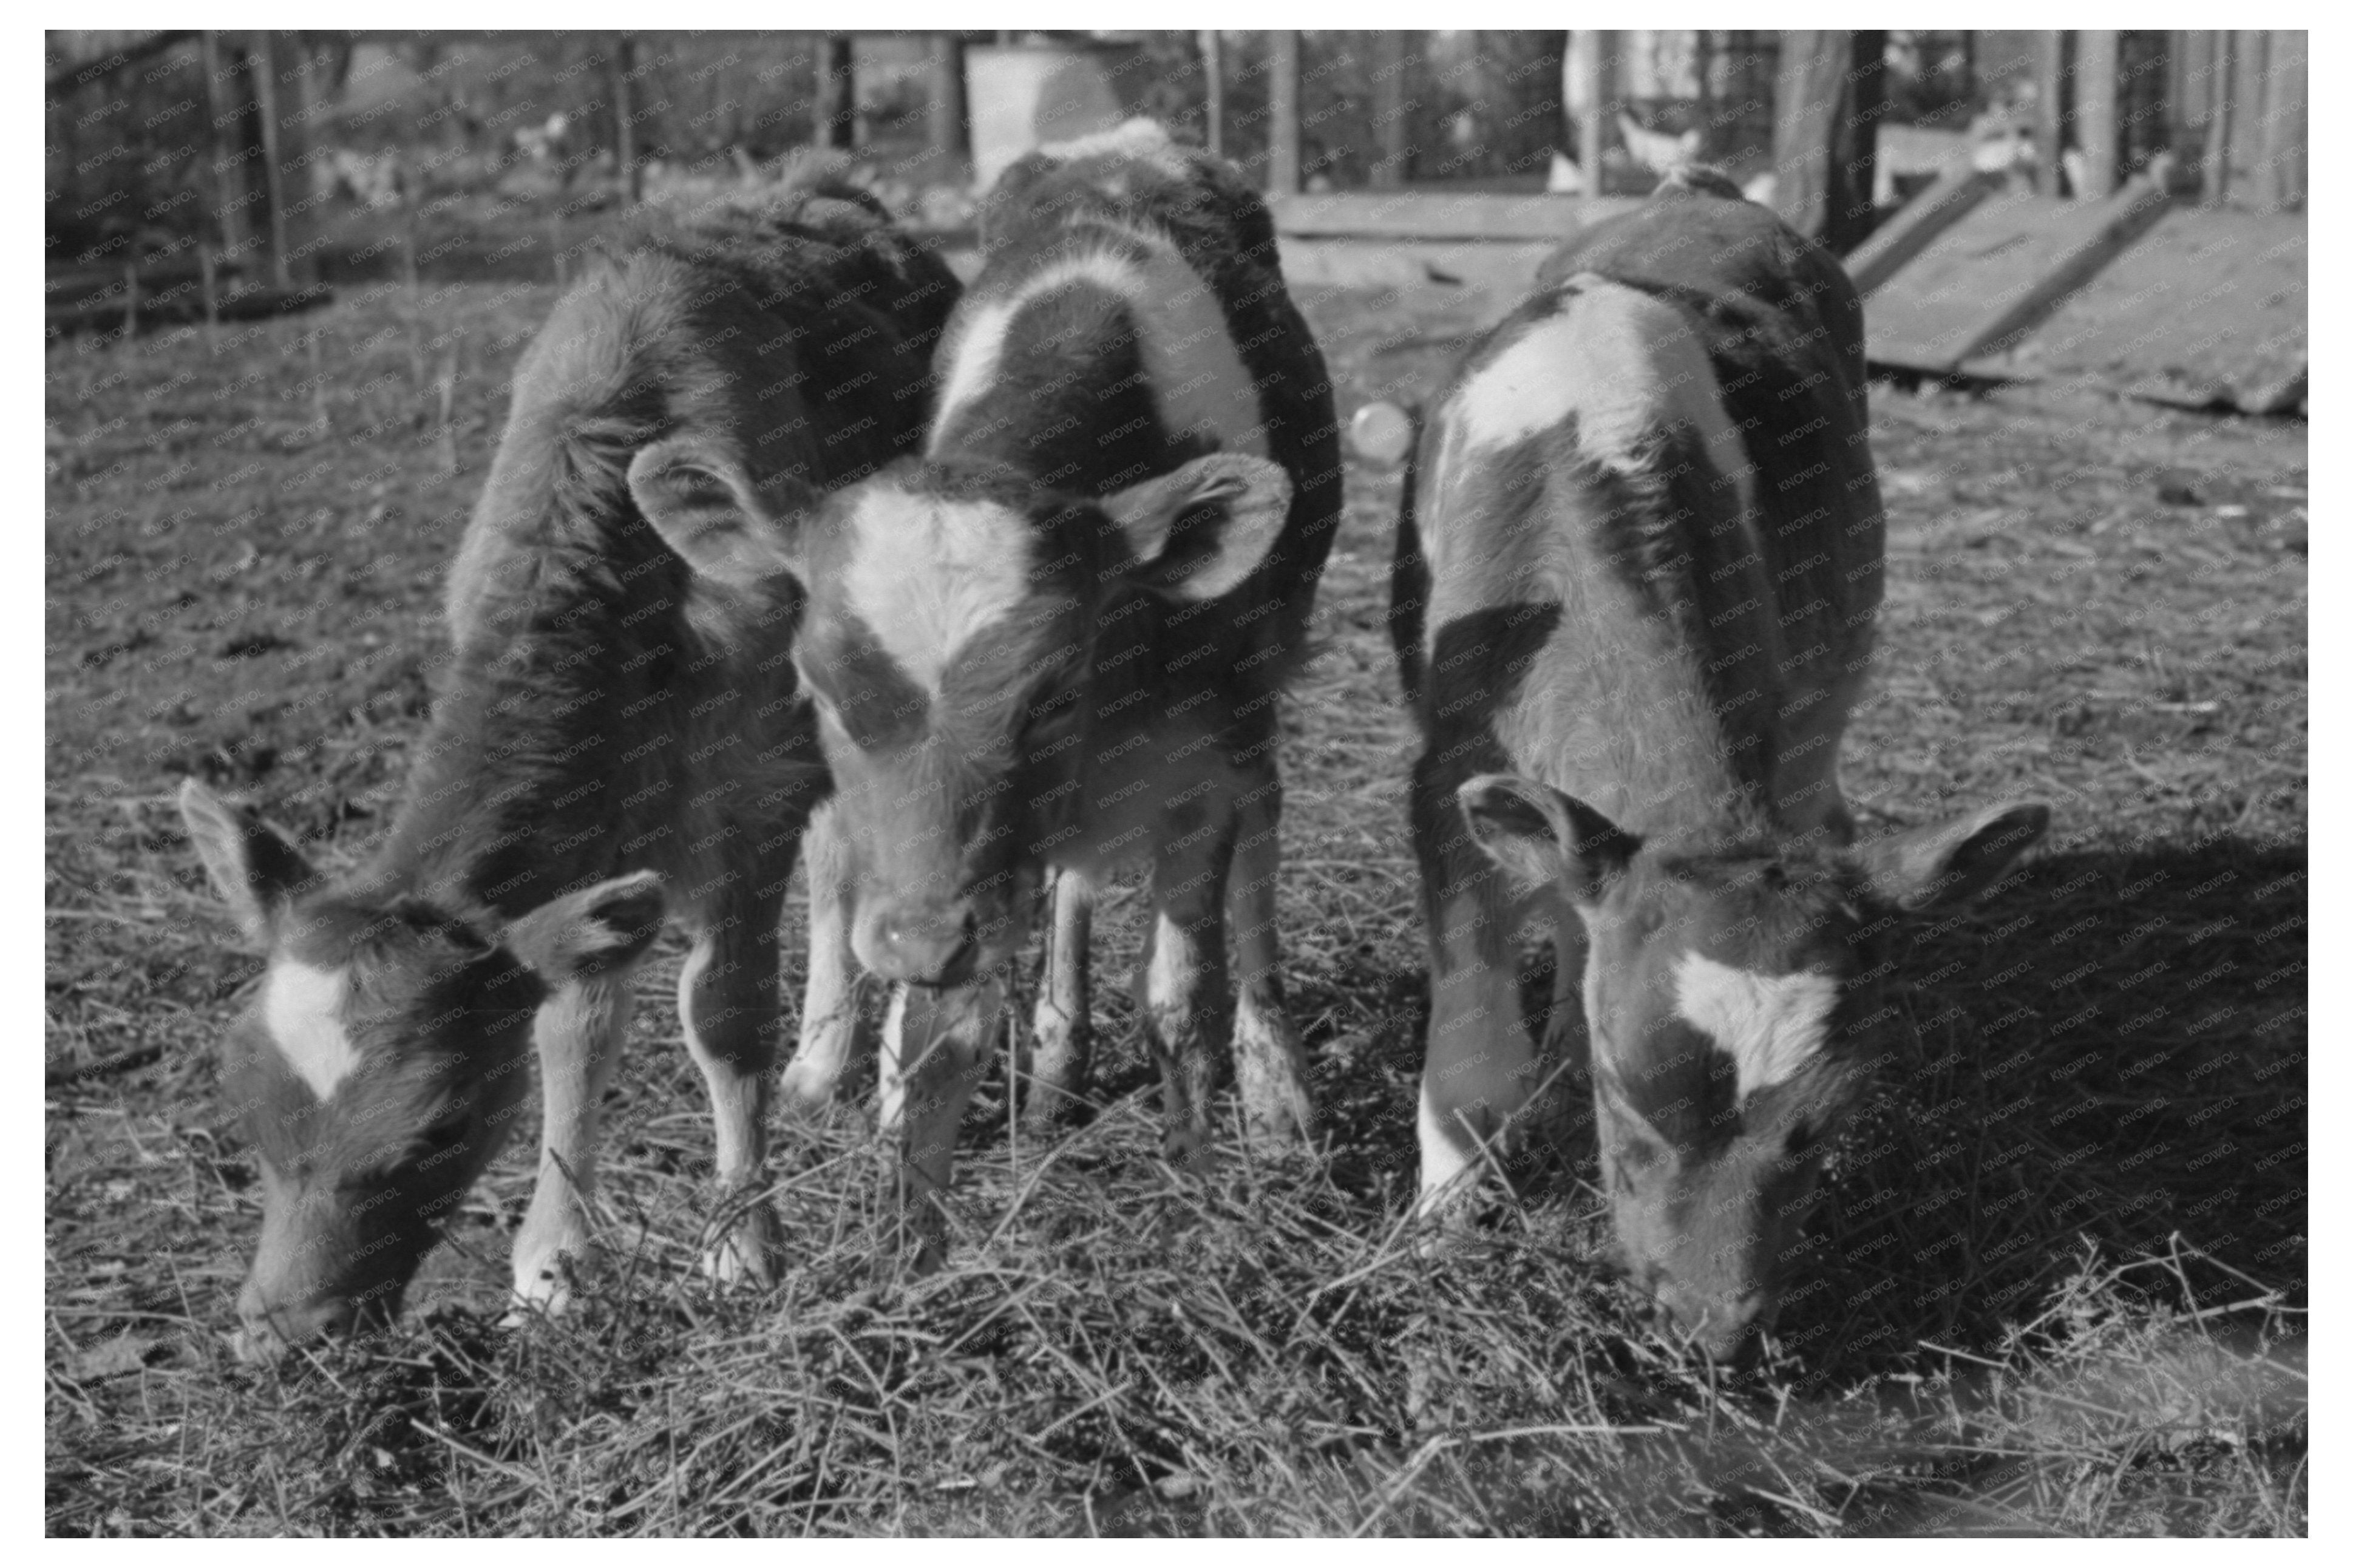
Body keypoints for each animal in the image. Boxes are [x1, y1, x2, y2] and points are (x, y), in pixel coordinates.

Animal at [178, 189, 960, 1346]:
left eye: (440, 1127)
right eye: (245, 1104)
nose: (286, 1336)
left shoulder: (751, 794)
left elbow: (724, 1013)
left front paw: (740, 1242)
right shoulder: (600, 824)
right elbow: (572, 1022)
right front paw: (552, 1265)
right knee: (835, 862)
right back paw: (824, 1064)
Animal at [645, 118, 1346, 1234]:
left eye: (1052, 692)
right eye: (823, 688)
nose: (922, 938)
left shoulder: (1200, 766)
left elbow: (1179, 999)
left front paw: (1198, 1187)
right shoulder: (947, 872)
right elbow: (929, 1039)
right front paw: (903, 1217)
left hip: (1260, 697)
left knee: (1258, 861)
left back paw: (1278, 1089)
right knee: (1071, 883)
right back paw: (1059, 1058)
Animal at [1384, 171, 2051, 1356]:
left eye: (1823, 1122)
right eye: (1630, 1091)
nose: (1710, 1328)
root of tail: (1698, 189)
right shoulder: (1447, 781)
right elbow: (1470, 1049)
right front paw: (1442, 1234)